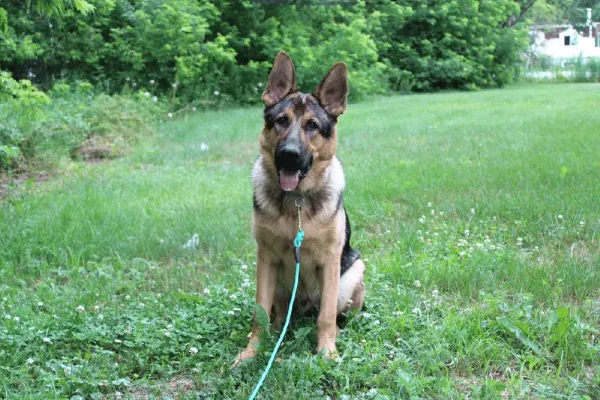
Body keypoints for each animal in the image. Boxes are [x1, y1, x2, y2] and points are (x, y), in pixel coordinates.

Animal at [234, 50, 366, 366]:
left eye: (312, 126)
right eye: (281, 121)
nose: (289, 155)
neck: (296, 203)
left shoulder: (330, 261)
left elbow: (326, 317)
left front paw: (327, 352)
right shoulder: (266, 259)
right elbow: (259, 315)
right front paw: (251, 352)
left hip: (352, 272)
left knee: (336, 314)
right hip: (281, 286)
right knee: (279, 317)